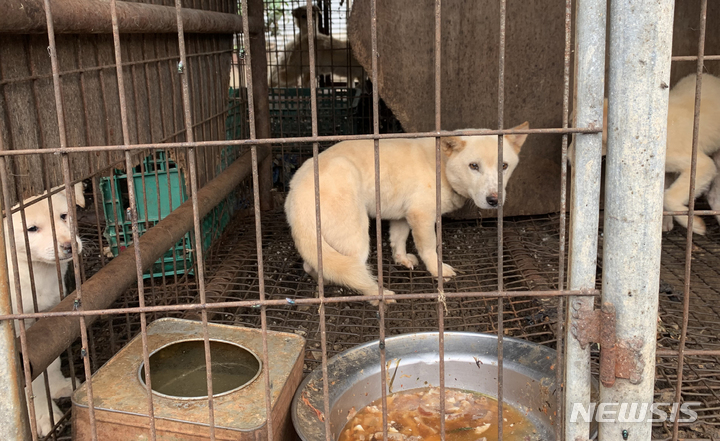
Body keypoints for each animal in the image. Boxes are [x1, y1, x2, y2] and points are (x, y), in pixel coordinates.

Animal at [4, 183, 84, 436]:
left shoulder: (47, 317)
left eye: (64, 215)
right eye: (31, 229)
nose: (69, 246)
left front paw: (58, 386)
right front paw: (43, 416)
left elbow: (51, 359)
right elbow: (34, 380)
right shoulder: (21, 337)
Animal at [286, 123, 528, 302]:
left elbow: (398, 240)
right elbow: (429, 248)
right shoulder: (421, 216)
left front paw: (402, 259)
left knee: (316, 265)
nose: (494, 200)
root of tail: (297, 193)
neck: (441, 165)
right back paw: (379, 296)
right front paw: (438, 270)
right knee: (349, 272)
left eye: (504, 166)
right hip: (356, 239)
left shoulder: (402, 216)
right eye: (474, 166)